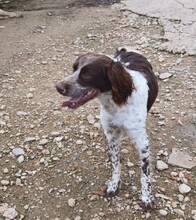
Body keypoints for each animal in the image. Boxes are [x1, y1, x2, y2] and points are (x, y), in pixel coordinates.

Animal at [55, 47, 158, 209]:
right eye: (74, 69)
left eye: (87, 74)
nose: (58, 87)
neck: (115, 103)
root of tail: (127, 50)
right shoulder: (112, 136)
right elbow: (115, 164)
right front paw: (114, 185)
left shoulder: (142, 142)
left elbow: (145, 173)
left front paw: (146, 198)